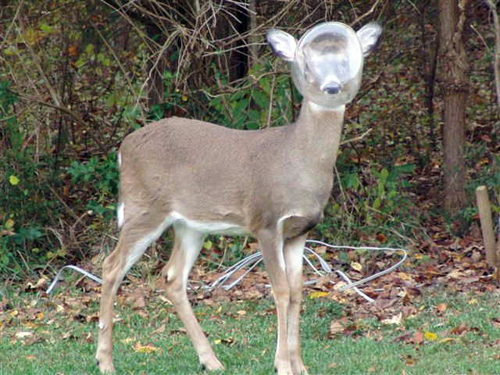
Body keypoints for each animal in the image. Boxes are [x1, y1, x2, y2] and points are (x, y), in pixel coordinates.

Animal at [94, 19, 382, 375]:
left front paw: (300, 365)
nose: (331, 87)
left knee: (172, 277)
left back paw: (210, 359)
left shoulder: (300, 231)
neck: (298, 159)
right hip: (145, 207)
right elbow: (280, 290)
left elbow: (298, 292)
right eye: (306, 64)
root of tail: (124, 148)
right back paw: (105, 361)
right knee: (112, 266)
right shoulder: (266, 221)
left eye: (348, 61)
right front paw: (282, 364)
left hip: (190, 224)